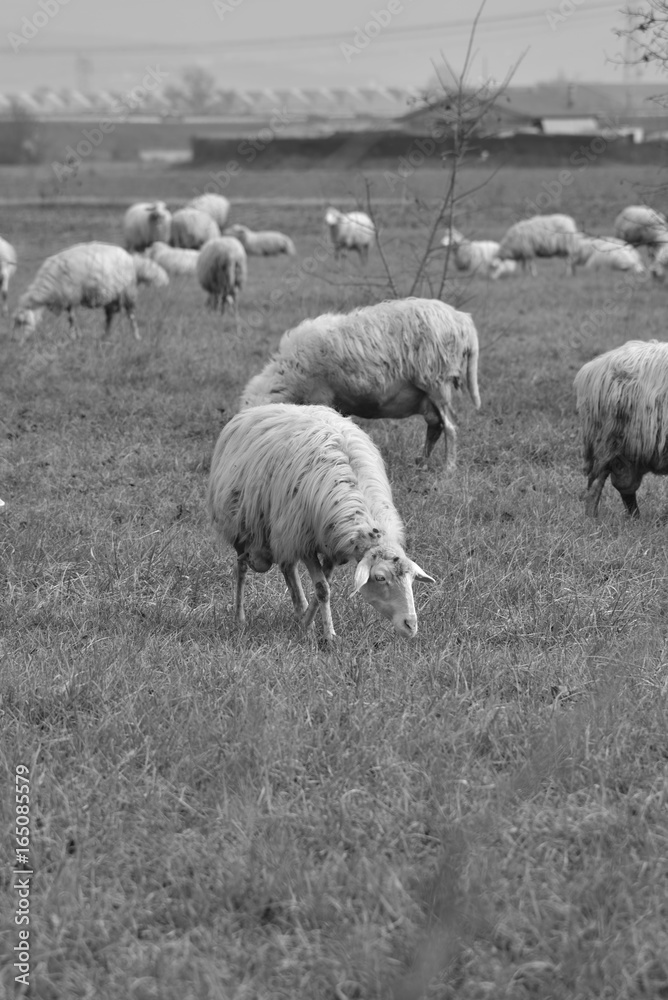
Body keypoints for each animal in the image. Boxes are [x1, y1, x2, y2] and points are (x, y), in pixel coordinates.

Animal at [12, 242, 168, 340]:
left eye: (22, 322)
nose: (16, 341)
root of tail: (131, 258)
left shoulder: (71, 295)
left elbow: (72, 318)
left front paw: (74, 336)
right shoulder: (68, 298)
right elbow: (72, 317)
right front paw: (76, 335)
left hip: (128, 291)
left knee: (131, 315)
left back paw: (136, 337)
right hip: (111, 295)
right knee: (110, 317)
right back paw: (105, 336)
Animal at [207, 402, 435, 642]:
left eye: (412, 580)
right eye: (380, 578)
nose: (411, 625)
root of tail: (261, 407)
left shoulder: (331, 546)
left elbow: (323, 587)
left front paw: (306, 625)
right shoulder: (304, 541)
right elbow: (323, 589)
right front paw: (329, 636)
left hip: (284, 530)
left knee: (287, 567)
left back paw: (299, 610)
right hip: (241, 525)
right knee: (241, 567)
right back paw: (240, 618)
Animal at [241, 297, 481, 472]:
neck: (288, 376)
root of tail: (462, 320)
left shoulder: (320, 396)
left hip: (436, 382)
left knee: (450, 428)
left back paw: (448, 469)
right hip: (428, 396)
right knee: (435, 426)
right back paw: (421, 462)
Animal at [574, 339, 668, 517]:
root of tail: (594, 368)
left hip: (627, 452)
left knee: (624, 485)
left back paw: (634, 518)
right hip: (608, 441)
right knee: (598, 481)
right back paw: (591, 518)